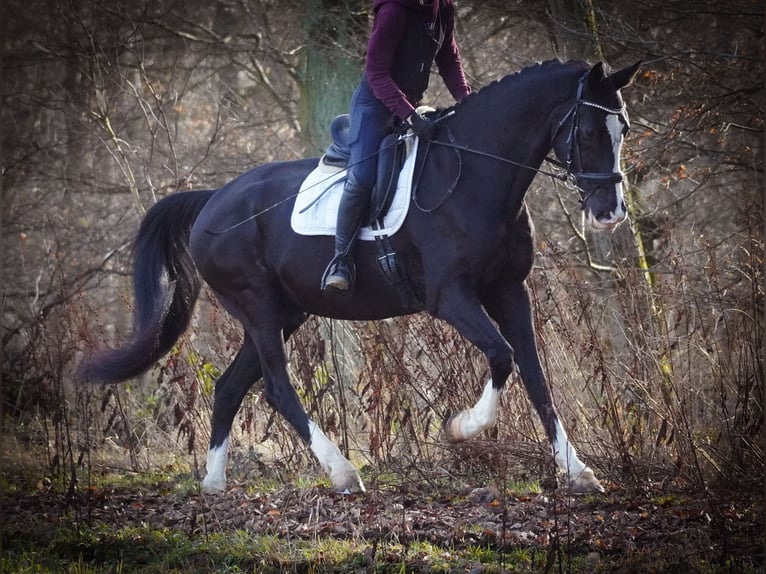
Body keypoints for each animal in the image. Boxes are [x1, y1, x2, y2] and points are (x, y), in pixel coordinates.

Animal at [79, 58, 641, 495]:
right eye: (589, 131)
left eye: (625, 130)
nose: (610, 213)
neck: (476, 176)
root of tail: (212, 200)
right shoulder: (451, 298)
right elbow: (502, 356)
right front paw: (461, 429)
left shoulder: (508, 291)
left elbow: (534, 373)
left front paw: (579, 472)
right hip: (258, 309)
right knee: (276, 388)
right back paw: (343, 473)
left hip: (285, 313)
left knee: (229, 387)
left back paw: (214, 485)